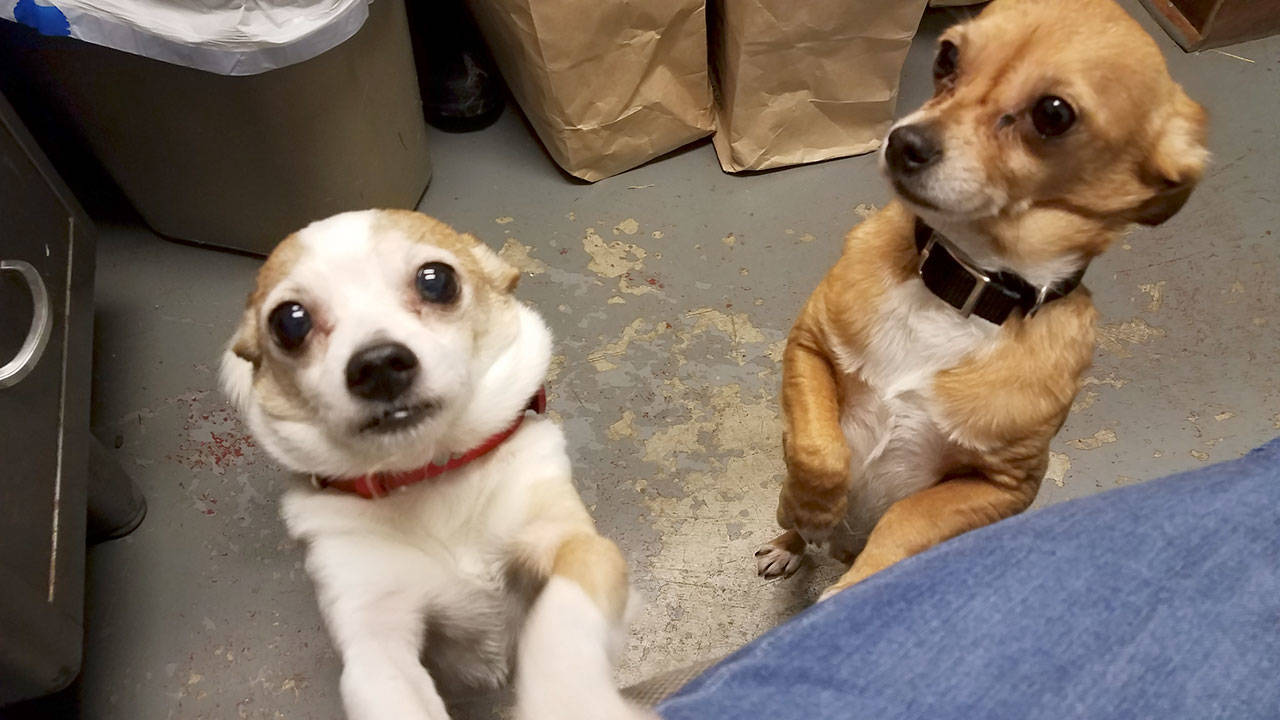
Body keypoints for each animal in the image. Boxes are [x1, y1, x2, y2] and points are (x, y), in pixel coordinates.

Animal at [218, 210, 650, 717]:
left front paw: (571, 700)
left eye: (437, 280)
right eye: (289, 322)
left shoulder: (576, 545)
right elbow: (395, 697)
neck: (431, 473)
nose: (377, 363)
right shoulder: (373, 636)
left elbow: (561, 627)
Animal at [757, 0, 1208, 599]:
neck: (957, 286)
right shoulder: (809, 349)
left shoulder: (1003, 486)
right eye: (947, 55)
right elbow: (819, 452)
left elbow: (907, 518)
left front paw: (856, 587)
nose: (903, 142)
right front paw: (809, 508)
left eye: (1054, 114)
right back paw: (789, 541)